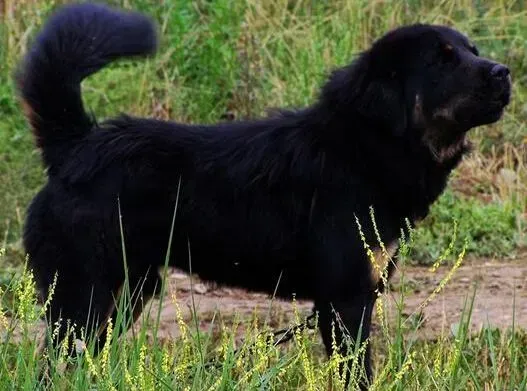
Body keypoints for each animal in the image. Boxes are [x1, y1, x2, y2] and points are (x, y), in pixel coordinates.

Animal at [18, 2, 510, 388]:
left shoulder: (352, 297)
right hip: (81, 297)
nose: (505, 72)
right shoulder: (345, 300)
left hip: (125, 294)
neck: (362, 148)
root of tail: (76, 146)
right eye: (442, 61)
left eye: (472, 51)